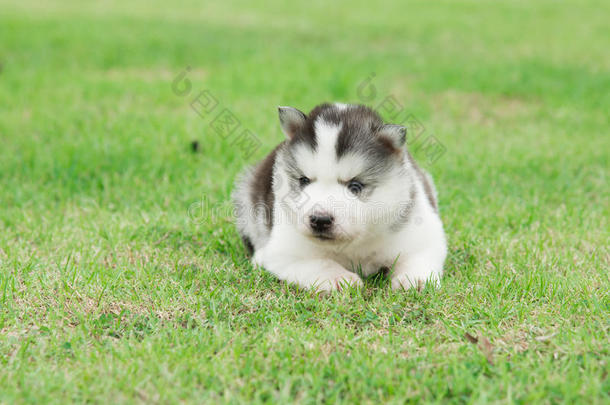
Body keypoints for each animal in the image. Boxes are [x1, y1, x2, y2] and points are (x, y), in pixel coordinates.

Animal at [233, 102, 446, 290]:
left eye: (355, 186)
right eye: (303, 180)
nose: (320, 220)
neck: (353, 244)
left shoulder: (423, 234)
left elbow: (418, 256)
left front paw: (415, 280)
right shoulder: (285, 252)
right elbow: (319, 263)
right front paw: (339, 279)